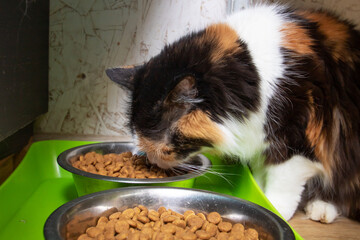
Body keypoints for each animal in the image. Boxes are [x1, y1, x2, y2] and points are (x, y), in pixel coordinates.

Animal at [105, 4, 360, 223]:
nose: (154, 163)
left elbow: (282, 181)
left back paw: (322, 208)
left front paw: (273, 208)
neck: (251, 73)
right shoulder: (259, 138)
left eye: (167, 150)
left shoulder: (297, 140)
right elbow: (260, 175)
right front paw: (258, 193)